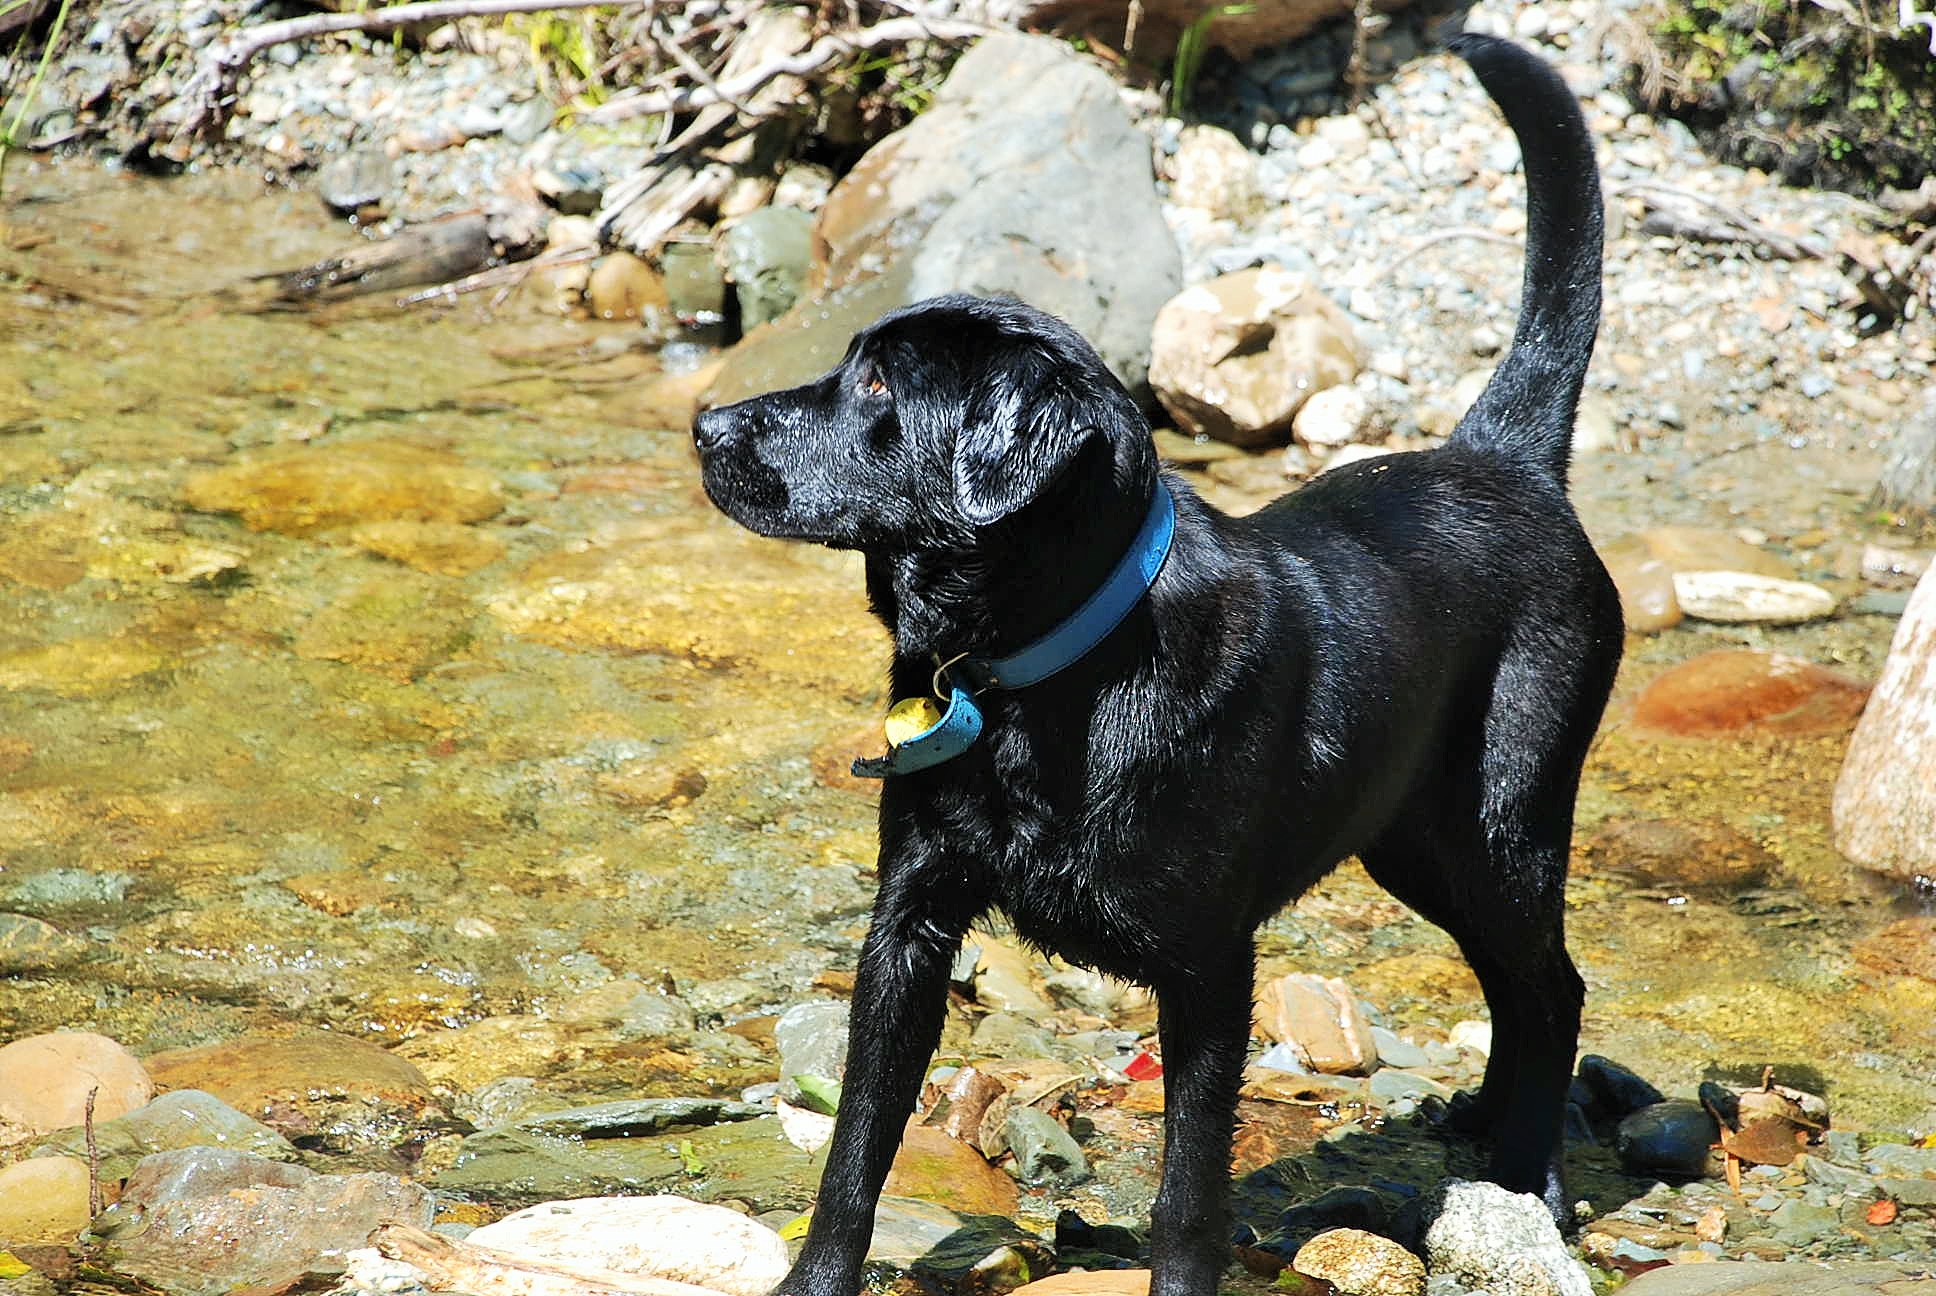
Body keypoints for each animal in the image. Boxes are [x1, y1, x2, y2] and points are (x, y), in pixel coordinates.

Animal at [692, 33, 1621, 1296]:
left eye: (880, 384)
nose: (704, 426)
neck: (1040, 678)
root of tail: (1508, 461)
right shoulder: (906, 929)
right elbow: (856, 1145)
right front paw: (815, 1279)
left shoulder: (1209, 969)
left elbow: (1190, 1193)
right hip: (1413, 841)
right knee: (1510, 984)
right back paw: (1479, 1123)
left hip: (1504, 822)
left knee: (1552, 985)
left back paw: (1529, 1181)